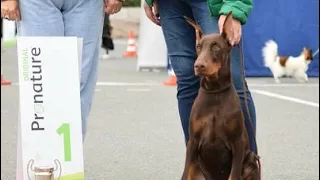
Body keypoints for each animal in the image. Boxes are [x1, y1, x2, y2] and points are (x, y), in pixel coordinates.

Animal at [180, 11, 260, 179]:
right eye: (198, 46)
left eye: (216, 46)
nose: (198, 66)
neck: (214, 92)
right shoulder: (193, 142)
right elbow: (185, 172)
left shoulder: (238, 143)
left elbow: (234, 175)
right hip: (197, 167)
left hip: (251, 159)